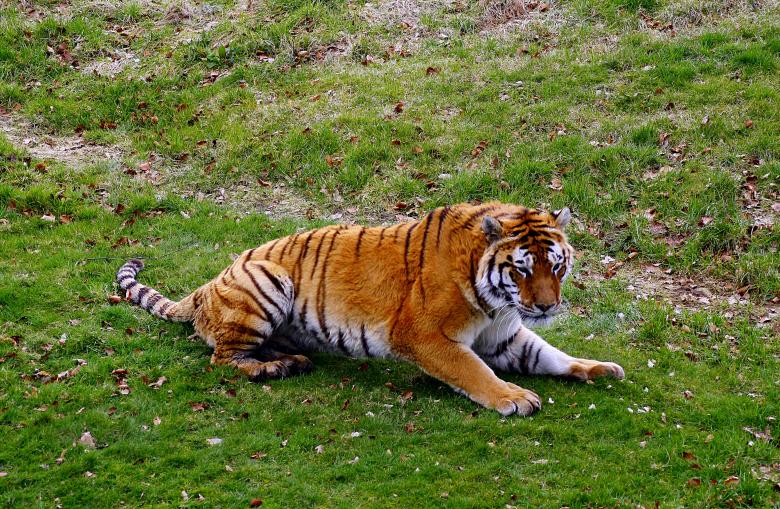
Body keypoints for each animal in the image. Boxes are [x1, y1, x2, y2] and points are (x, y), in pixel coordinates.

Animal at [116, 201, 624, 416]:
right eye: (521, 269)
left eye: (555, 265)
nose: (547, 305)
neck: (495, 301)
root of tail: (208, 283)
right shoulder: (425, 336)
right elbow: (473, 371)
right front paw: (513, 397)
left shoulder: (505, 336)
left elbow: (550, 354)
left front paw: (598, 368)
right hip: (267, 279)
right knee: (222, 359)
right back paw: (273, 368)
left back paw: (291, 359)